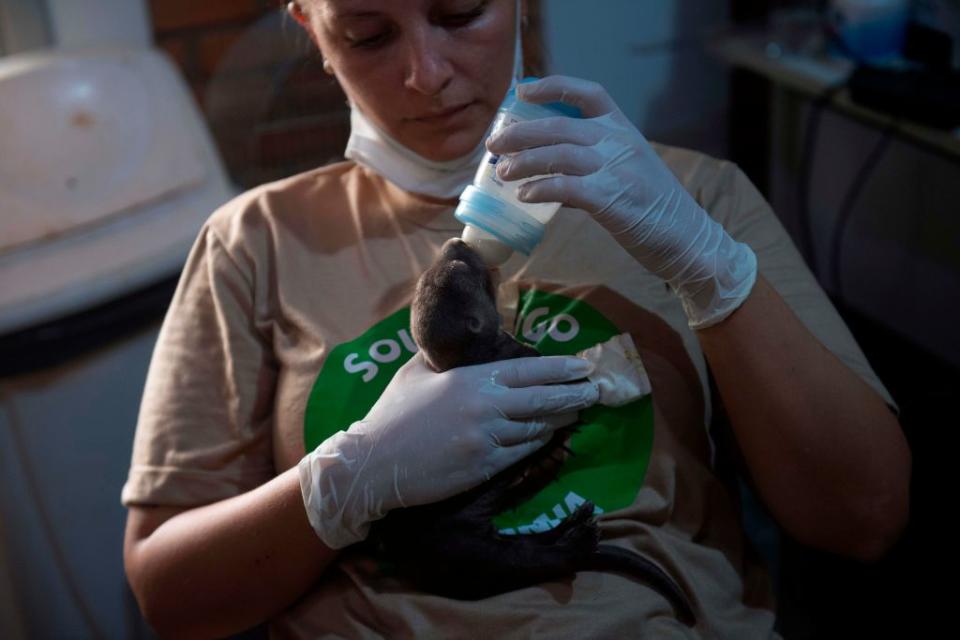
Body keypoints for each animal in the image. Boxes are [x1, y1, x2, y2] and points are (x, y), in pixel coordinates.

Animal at [364, 239, 692, 624]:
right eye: (464, 269)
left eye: (437, 266)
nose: (457, 242)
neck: (478, 360)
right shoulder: (526, 357)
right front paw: (579, 383)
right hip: (465, 552)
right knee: (535, 560)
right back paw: (577, 539)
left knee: (531, 544)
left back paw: (573, 521)